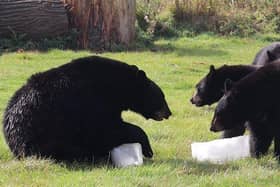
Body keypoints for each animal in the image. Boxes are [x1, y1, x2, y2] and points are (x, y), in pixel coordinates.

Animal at [3, 55, 172, 162]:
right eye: (161, 96)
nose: (169, 113)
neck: (114, 86)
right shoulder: (92, 103)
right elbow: (108, 128)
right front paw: (148, 149)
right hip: (45, 133)